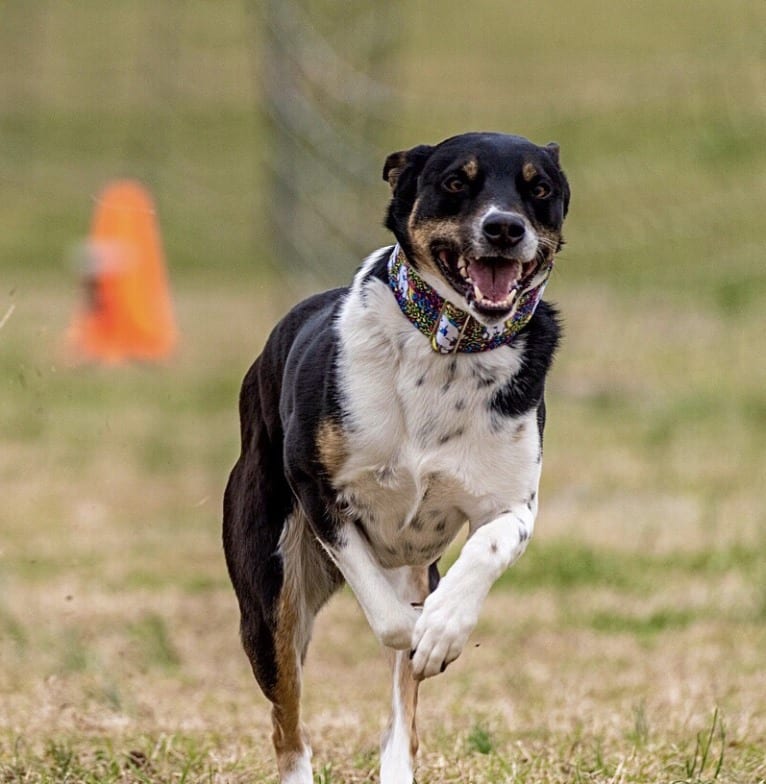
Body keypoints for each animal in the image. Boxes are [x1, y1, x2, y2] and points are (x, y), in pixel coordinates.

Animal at [222, 132, 568, 780]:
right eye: (457, 182)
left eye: (538, 189)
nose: (505, 228)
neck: (450, 344)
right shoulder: (317, 489)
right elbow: (387, 618)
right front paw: (418, 630)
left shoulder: (511, 505)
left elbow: (485, 550)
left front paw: (444, 630)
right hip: (270, 592)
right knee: (288, 722)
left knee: (399, 723)